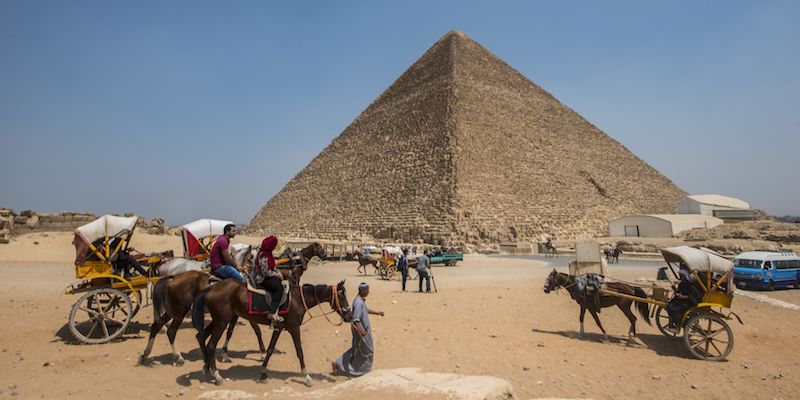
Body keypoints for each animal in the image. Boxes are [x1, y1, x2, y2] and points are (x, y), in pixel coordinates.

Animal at [139, 241, 326, 366]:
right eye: (320, 248)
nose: (325, 256)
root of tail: (170, 277)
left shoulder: (235, 313)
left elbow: (230, 331)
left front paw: (224, 353)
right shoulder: (245, 312)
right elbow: (255, 330)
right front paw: (261, 352)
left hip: (174, 308)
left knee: (157, 324)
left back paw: (146, 354)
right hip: (180, 309)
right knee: (171, 330)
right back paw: (178, 356)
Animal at [192, 280, 352, 386]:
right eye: (341, 297)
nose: (349, 316)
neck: (298, 299)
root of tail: (211, 288)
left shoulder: (278, 328)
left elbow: (270, 350)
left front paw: (263, 372)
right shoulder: (294, 328)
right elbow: (300, 352)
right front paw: (307, 376)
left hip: (219, 320)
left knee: (201, 336)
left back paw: (206, 367)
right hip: (222, 321)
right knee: (211, 345)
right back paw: (217, 375)